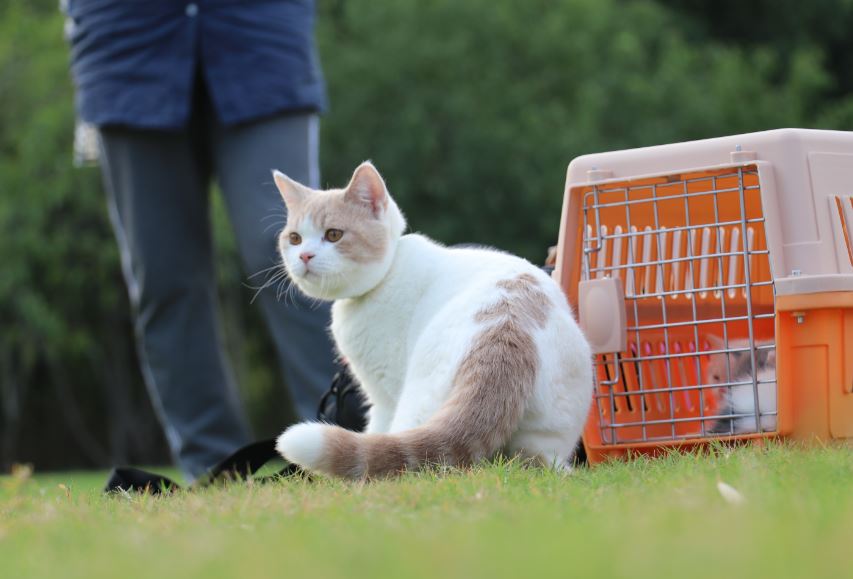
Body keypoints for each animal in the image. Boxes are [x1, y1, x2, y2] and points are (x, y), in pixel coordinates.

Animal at [272, 161, 592, 478]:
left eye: (334, 235)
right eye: (295, 238)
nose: (304, 255)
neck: (386, 276)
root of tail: (506, 328)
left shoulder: (383, 395)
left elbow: (375, 430)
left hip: (416, 401)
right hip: (550, 433)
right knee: (538, 461)